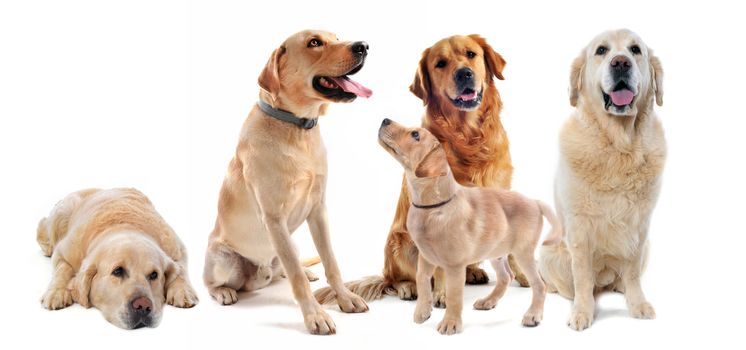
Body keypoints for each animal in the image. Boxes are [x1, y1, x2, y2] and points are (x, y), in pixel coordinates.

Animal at [35, 189, 198, 328]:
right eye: (117, 271)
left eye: (154, 275)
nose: (143, 305)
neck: (124, 225)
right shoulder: (63, 251)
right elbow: (62, 269)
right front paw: (57, 292)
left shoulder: (177, 248)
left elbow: (180, 269)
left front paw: (183, 291)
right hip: (61, 214)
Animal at [202, 28, 370, 334]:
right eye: (314, 42)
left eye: (336, 37)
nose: (363, 46)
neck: (297, 128)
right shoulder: (274, 218)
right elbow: (296, 280)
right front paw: (315, 316)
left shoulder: (318, 210)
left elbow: (331, 261)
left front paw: (345, 298)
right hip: (224, 258)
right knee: (212, 283)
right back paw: (224, 291)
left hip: (290, 244)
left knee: (287, 267)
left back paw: (306, 269)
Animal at [312, 34, 516, 308]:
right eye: (440, 63)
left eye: (471, 54)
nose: (464, 74)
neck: (468, 137)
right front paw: (443, 294)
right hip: (398, 243)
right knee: (397, 279)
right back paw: (409, 287)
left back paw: (471, 271)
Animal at [378, 119, 560, 334]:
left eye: (415, 135)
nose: (385, 120)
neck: (431, 208)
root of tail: (535, 202)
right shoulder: (425, 257)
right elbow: (422, 280)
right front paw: (422, 311)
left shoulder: (454, 265)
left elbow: (454, 295)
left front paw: (450, 323)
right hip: (495, 251)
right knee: (506, 277)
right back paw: (488, 301)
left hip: (522, 252)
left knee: (539, 284)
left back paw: (533, 315)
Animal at [536, 29, 664, 330]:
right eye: (602, 50)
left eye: (635, 50)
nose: (621, 63)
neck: (619, 147)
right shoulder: (580, 229)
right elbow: (583, 278)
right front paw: (582, 312)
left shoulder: (639, 227)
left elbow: (632, 272)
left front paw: (637, 304)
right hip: (549, 252)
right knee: (568, 284)